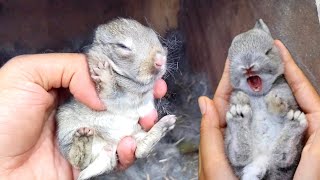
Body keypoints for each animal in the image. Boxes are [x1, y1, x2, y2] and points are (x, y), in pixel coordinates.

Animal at [55, 18, 175, 180]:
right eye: (122, 46)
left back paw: (166, 124)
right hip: (68, 131)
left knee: (140, 150)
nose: (160, 60)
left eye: (156, 38)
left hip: (135, 136)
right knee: (78, 162)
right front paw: (105, 75)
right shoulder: (104, 98)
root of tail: (109, 147)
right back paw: (83, 140)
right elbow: (110, 92)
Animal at [225, 19, 308, 179]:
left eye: (268, 52)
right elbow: (236, 97)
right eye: (232, 59)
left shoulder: (287, 94)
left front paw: (275, 101)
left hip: (292, 156)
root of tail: (260, 164)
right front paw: (240, 99)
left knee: (283, 158)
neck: (259, 94)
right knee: (239, 157)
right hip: (229, 144)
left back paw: (294, 122)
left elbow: (284, 100)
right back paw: (238, 116)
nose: (248, 67)